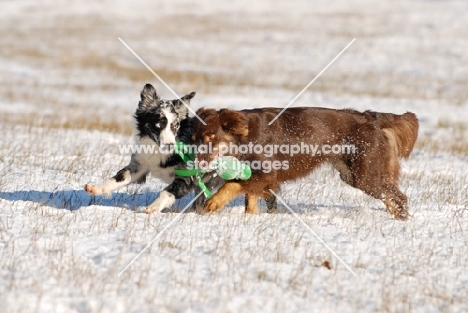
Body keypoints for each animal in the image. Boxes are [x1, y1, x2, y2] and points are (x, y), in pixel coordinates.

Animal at [84, 83, 223, 212]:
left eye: (175, 126)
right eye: (158, 125)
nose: (169, 146)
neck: (159, 151)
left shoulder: (187, 178)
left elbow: (166, 192)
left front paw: (153, 207)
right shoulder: (139, 165)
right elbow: (119, 177)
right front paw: (97, 188)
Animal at [192, 107, 418, 219]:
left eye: (211, 135)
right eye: (194, 138)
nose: (196, 162)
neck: (244, 137)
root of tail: (371, 117)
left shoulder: (267, 174)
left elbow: (232, 185)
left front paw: (213, 202)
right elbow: (250, 199)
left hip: (365, 174)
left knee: (400, 197)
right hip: (352, 174)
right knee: (391, 197)